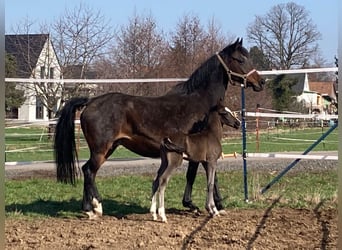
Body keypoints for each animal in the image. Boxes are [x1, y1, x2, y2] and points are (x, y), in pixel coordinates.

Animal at [54, 37, 264, 219]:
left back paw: (88, 208)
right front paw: (202, 205)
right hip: (101, 150)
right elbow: (197, 176)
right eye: (240, 59)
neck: (199, 101)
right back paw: (95, 208)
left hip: (109, 148)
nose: (261, 82)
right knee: (89, 171)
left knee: (87, 170)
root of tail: (90, 101)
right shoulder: (198, 151)